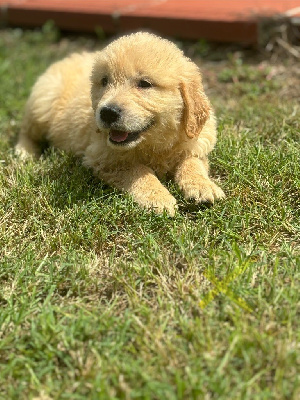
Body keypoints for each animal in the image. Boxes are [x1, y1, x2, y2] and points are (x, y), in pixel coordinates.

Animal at [15, 32, 224, 216]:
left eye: (144, 83)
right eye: (104, 81)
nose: (107, 113)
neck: (154, 146)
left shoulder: (195, 143)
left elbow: (192, 163)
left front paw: (202, 186)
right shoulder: (103, 156)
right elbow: (139, 171)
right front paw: (158, 198)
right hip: (42, 103)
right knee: (26, 131)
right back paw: (24, 152)